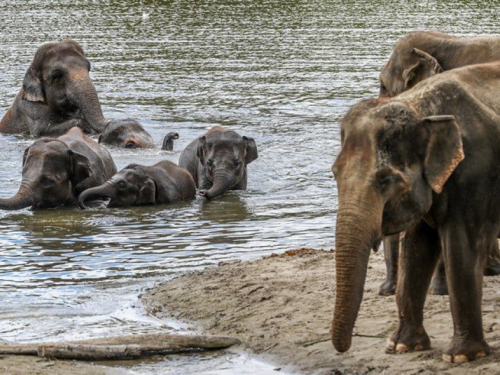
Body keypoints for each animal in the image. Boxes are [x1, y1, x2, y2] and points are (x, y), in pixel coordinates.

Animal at [332, 61, 500, 364]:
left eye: (385, 179)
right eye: (334, 174)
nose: (345, 347)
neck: (420, 108)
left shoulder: (476, 173)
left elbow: (462, 248)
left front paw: (461, 357)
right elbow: (416, 249)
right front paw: (402, 346)